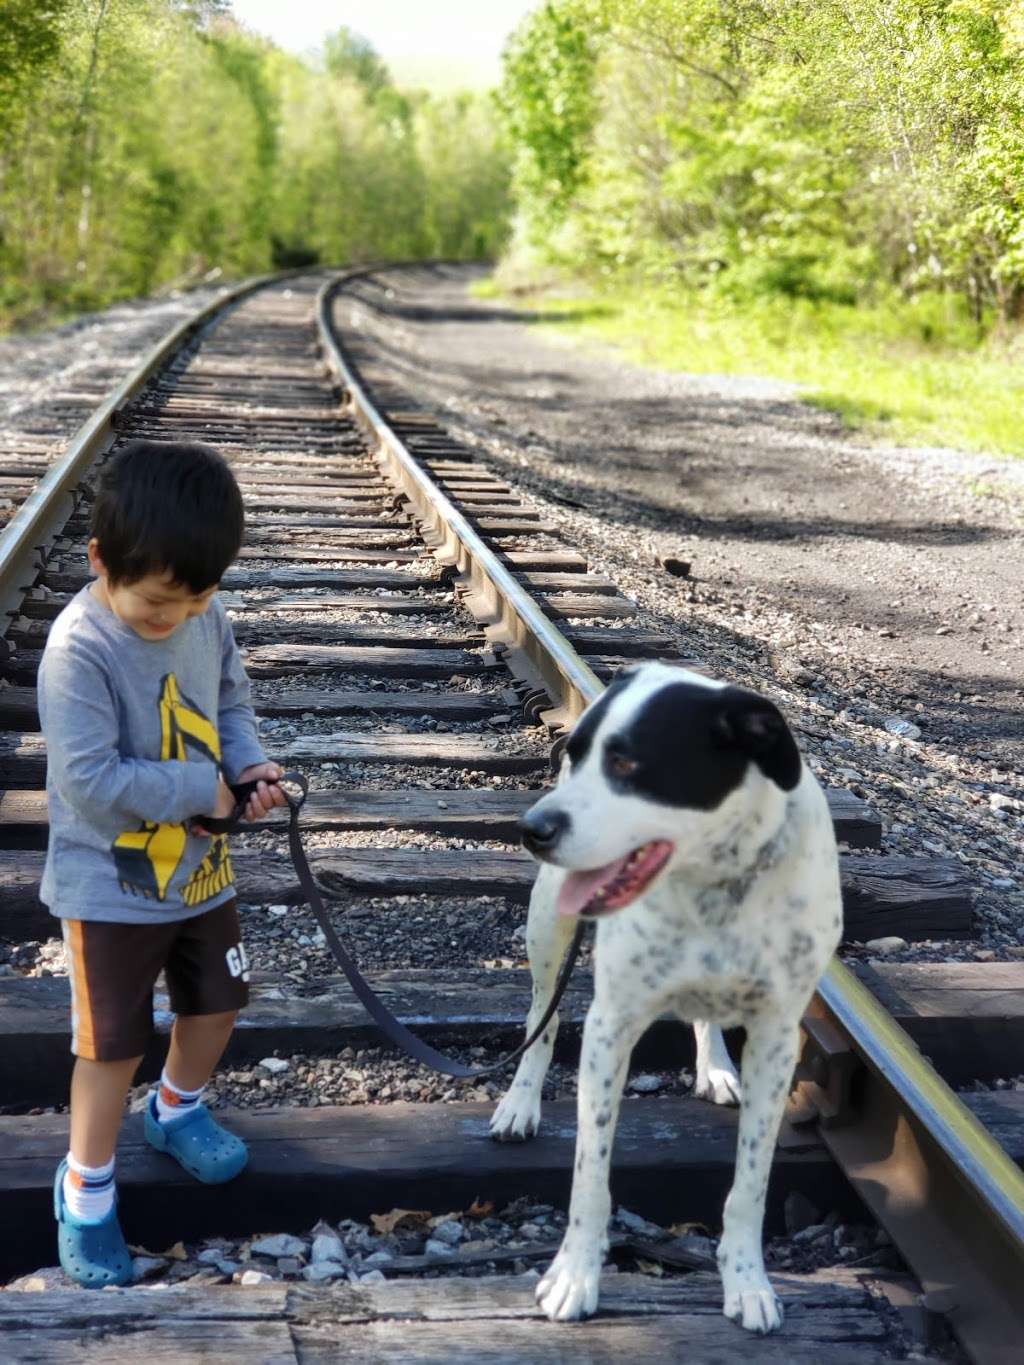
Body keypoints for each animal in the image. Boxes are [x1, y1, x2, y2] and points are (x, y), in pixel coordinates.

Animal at [488, 660, 841, 1332]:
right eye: (577, 754)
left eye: (628, 763)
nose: (531, 829)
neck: (713, 882)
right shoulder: (610, 1028)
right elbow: (590, 1175)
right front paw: (574, 1276)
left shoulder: (778, 1040)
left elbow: (750, 1184)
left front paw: (747, 1280)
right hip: (548, 923)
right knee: (542, 1017)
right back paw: (520, 1102)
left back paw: (716, 1066)